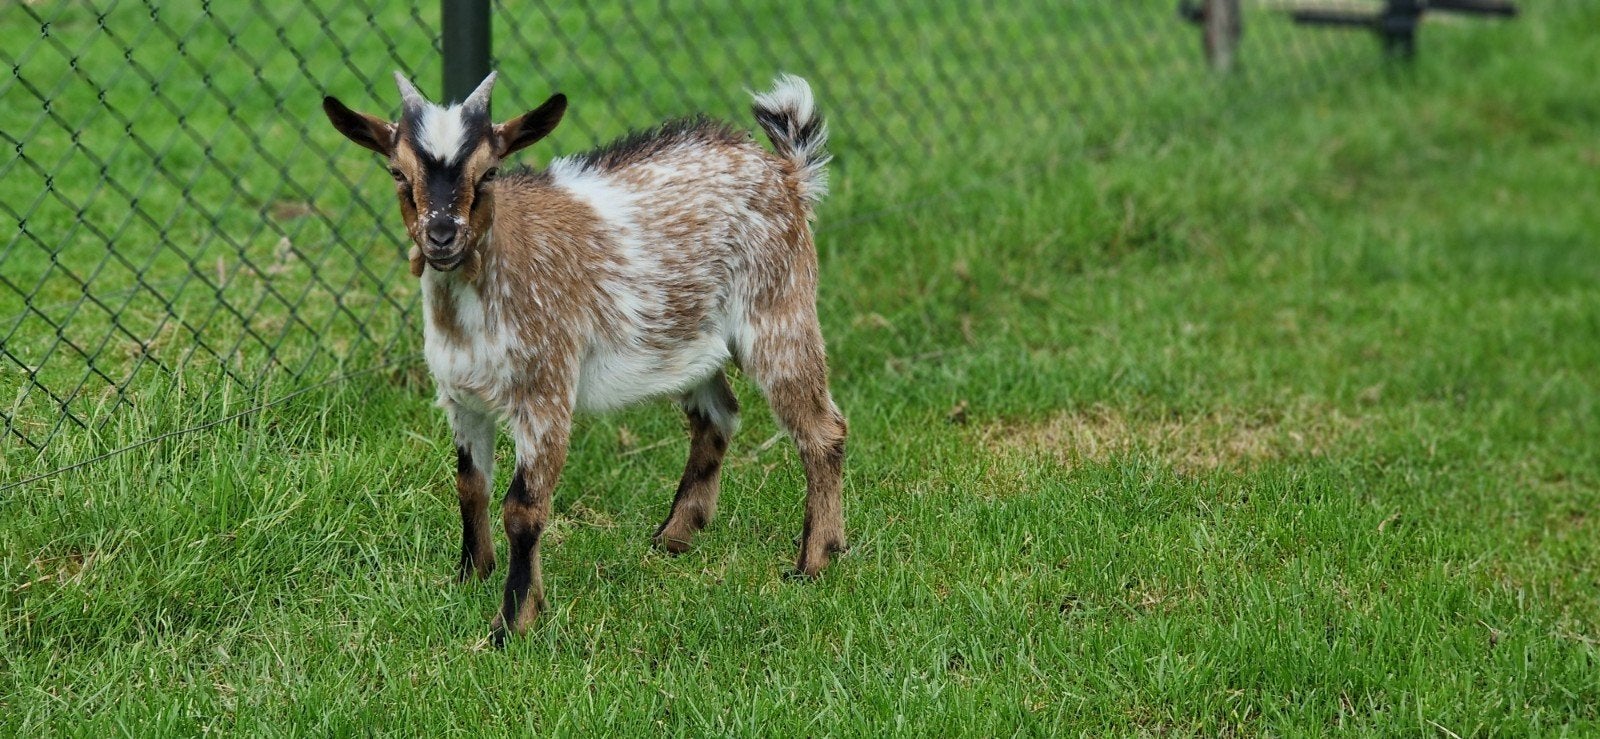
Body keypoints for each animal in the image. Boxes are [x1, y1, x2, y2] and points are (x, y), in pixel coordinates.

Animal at [322, 72, 846, 644]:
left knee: (822, 429)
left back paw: (815, 562)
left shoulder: (545, 391)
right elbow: (469, 486)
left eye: (489, 172)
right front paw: (469, 578)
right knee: (719, 417)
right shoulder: (461, 398)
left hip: (779, 310)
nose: (442, 237)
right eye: (397, 172)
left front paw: (513, 623)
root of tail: (788, 172)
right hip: (686, 340)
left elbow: (523, 508)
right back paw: (673, 538)